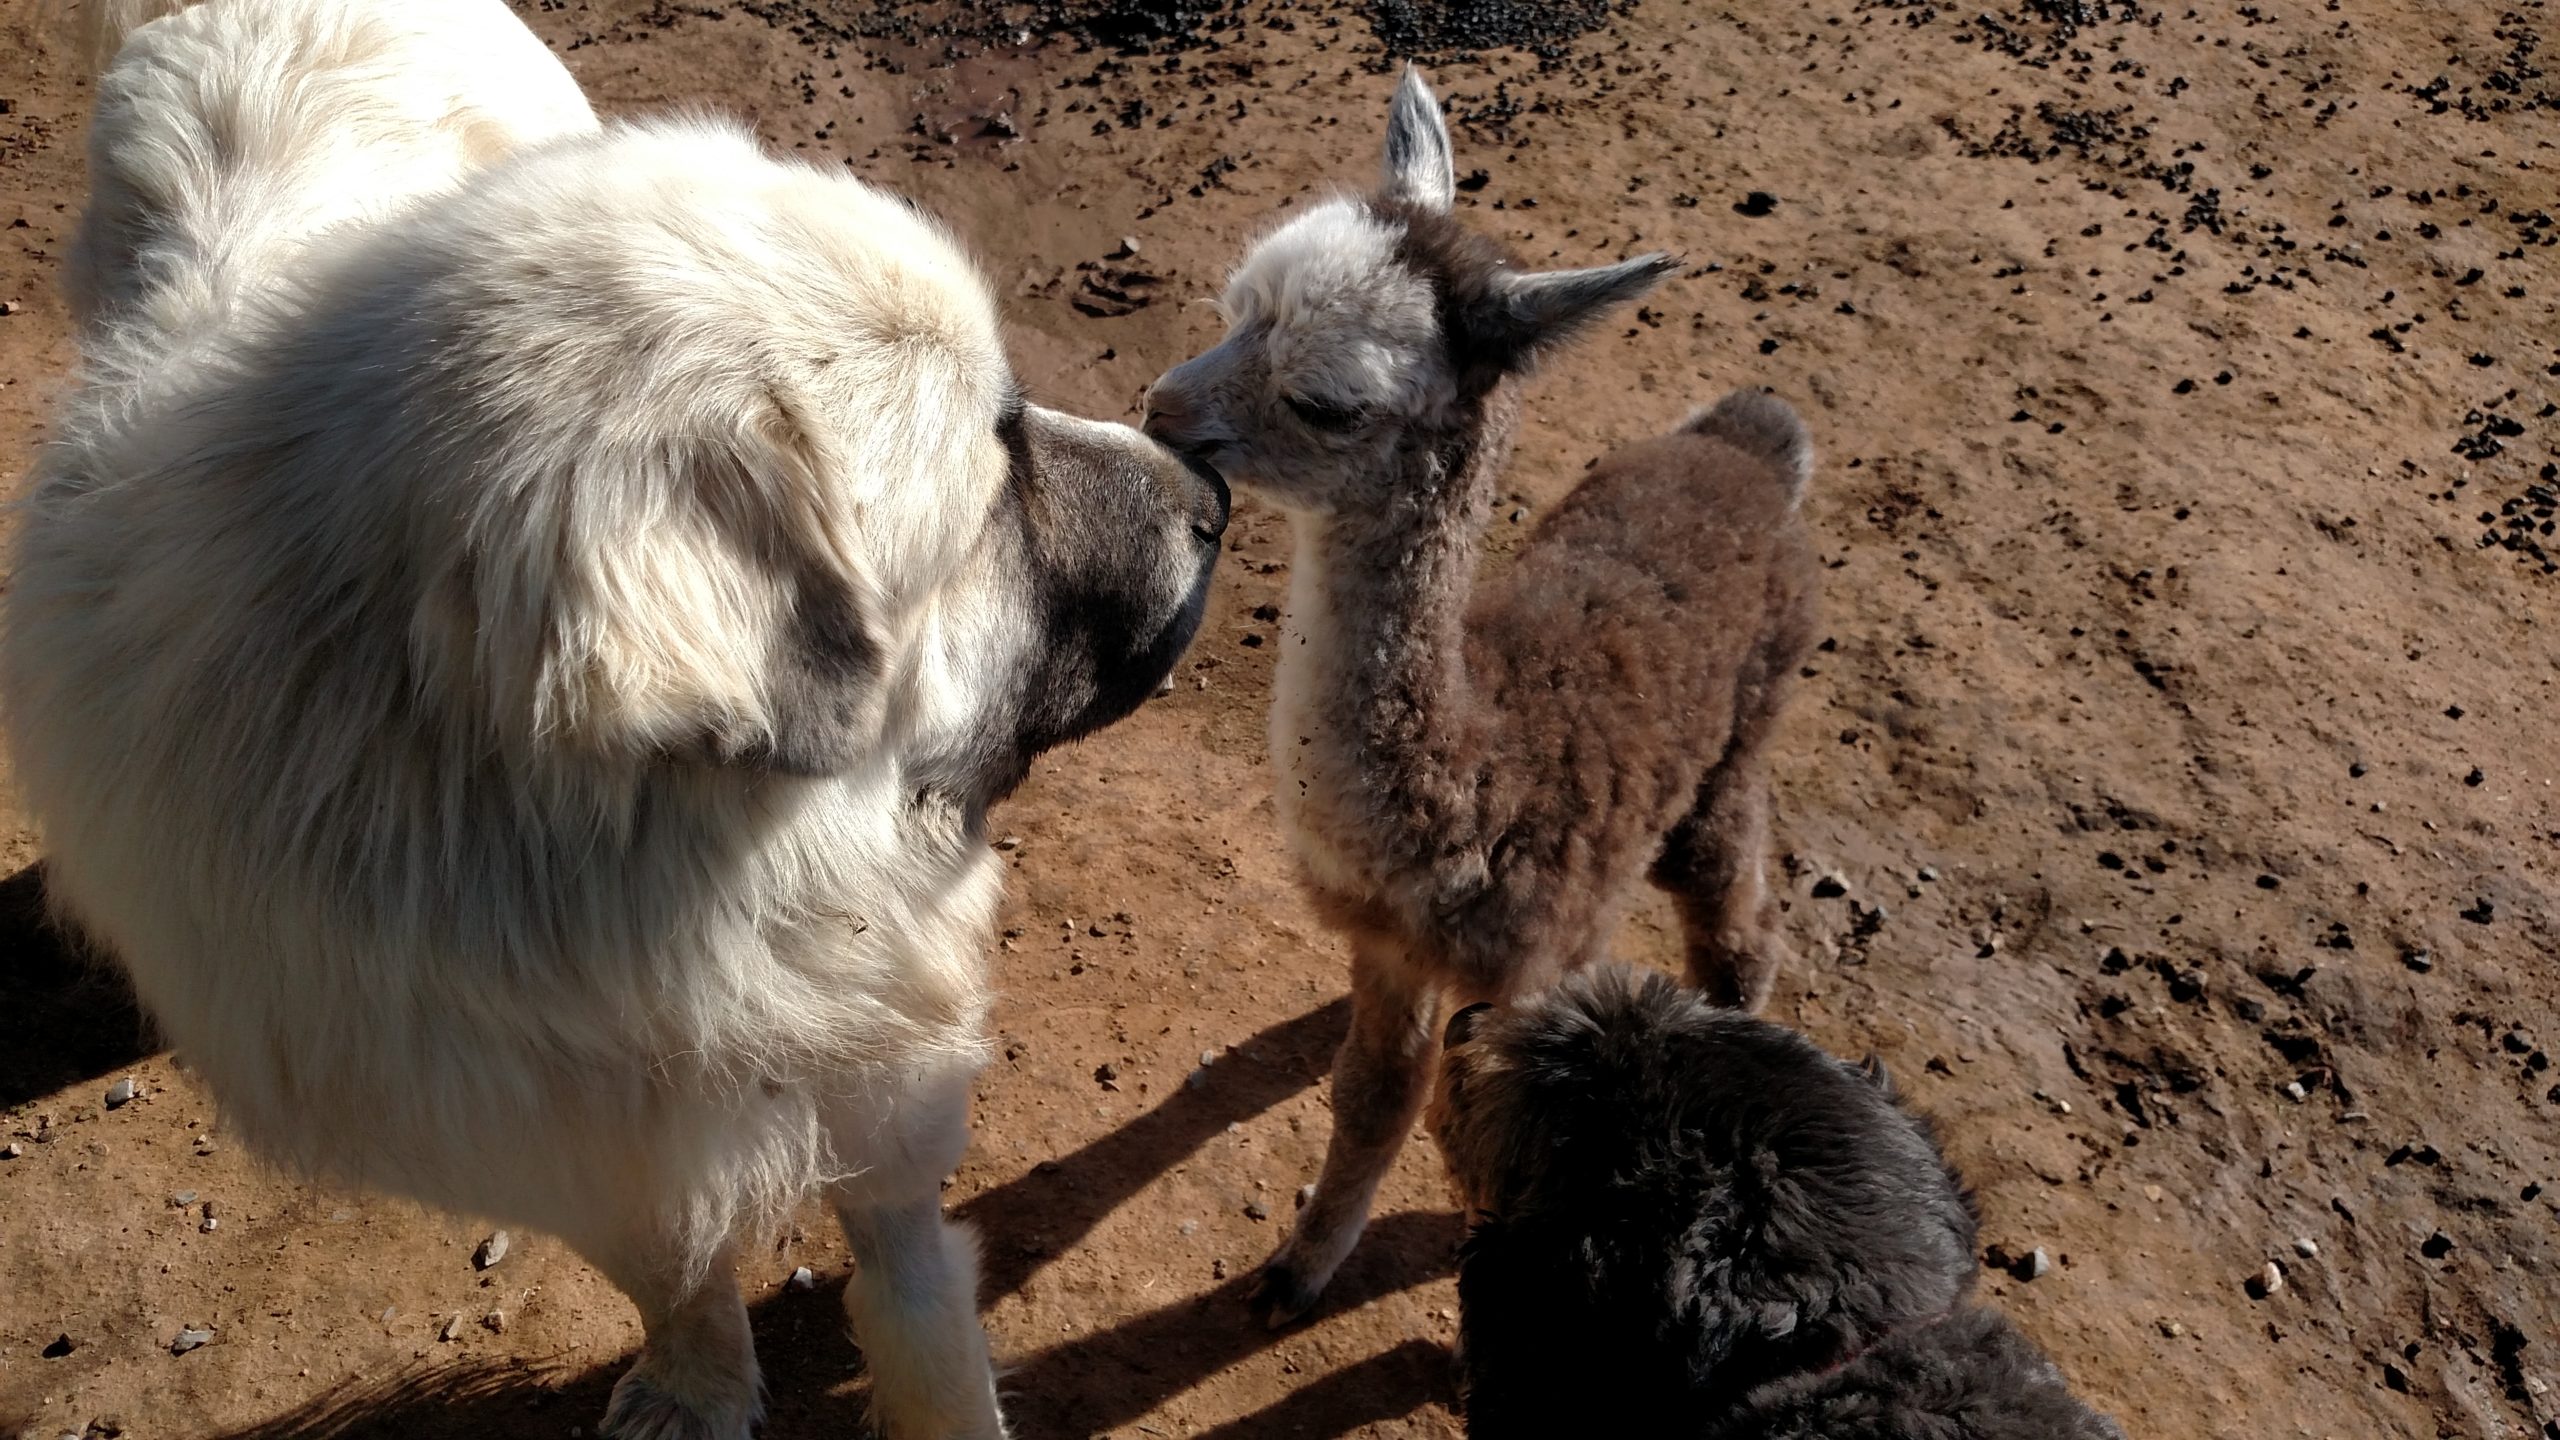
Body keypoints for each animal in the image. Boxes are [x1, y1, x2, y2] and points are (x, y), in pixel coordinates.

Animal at [2, 2, 1228, 1434]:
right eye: (996, 477)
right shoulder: (566, 1136)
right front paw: (697, 1381)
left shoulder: (878, 1069)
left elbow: (913, 1294)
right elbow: (668, 1265)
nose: (1210, 497)